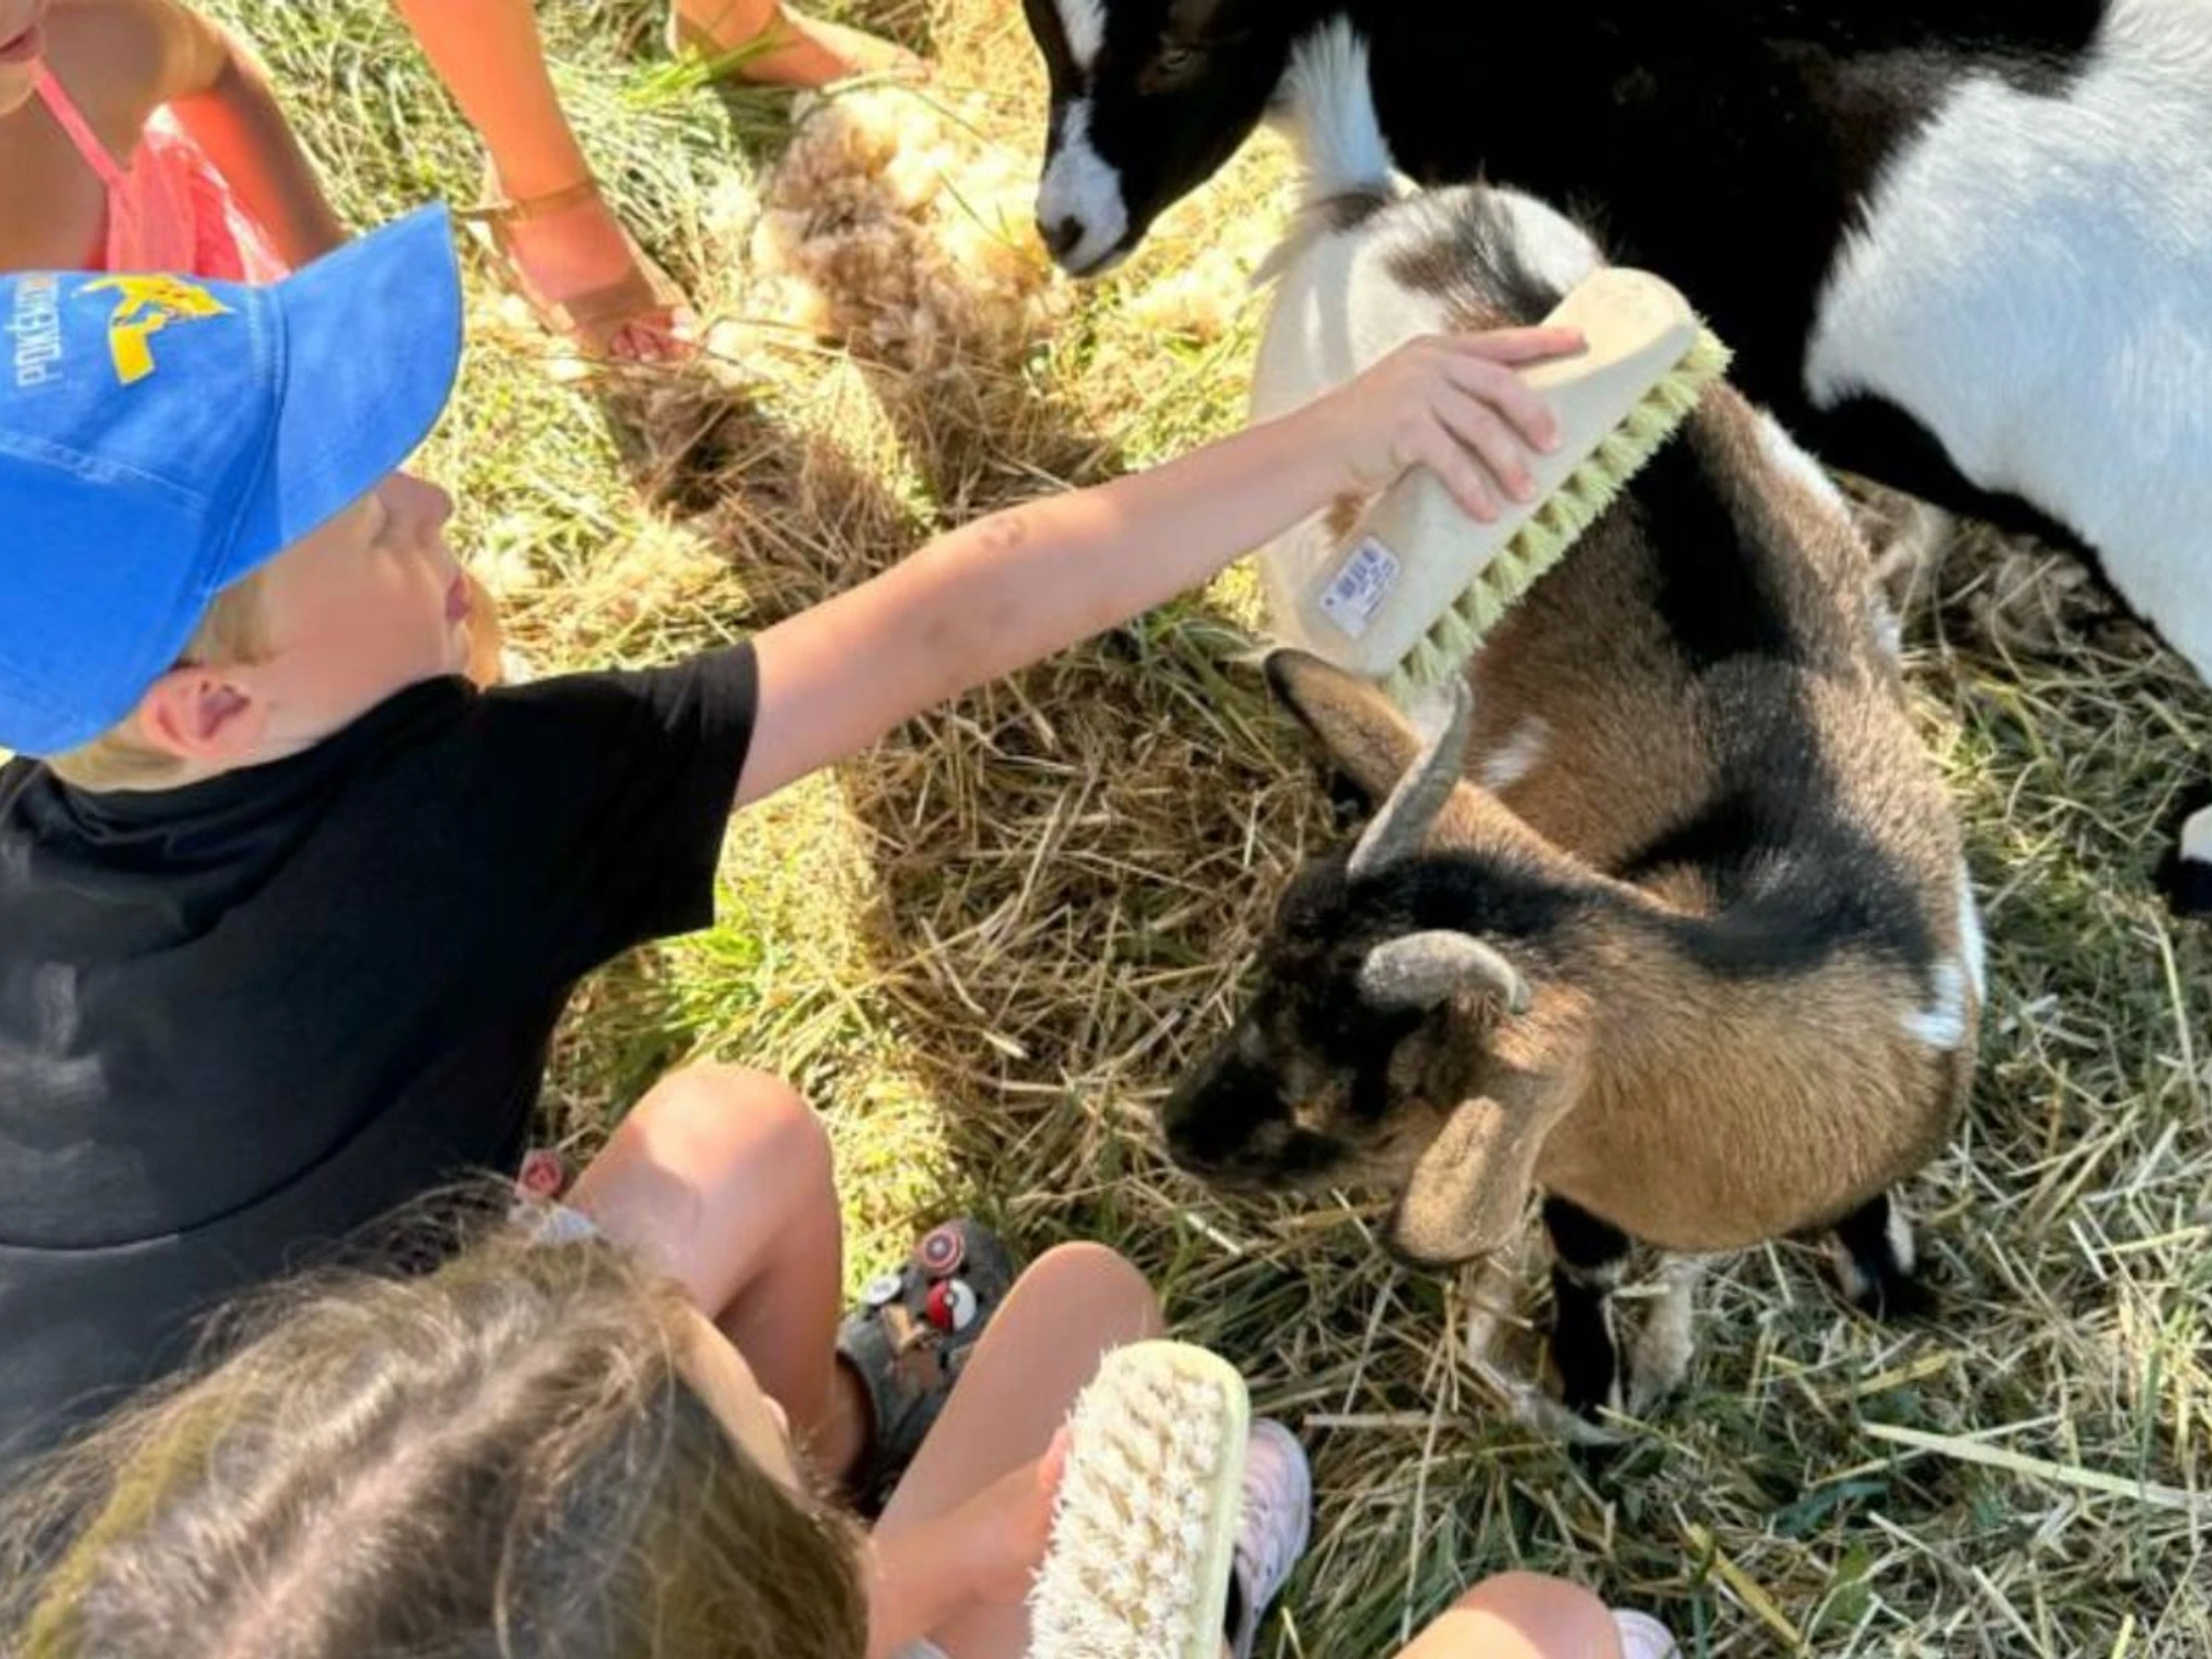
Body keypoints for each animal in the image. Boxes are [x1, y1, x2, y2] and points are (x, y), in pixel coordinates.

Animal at [1160, 168, 1982, 1420]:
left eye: (1365, 1092)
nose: (1176, 1133)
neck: (1815, 921)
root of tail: (1390, 214)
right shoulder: (1577, 1161)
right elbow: (1584, 1256)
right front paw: (1591, 1384)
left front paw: (1887, 1274)